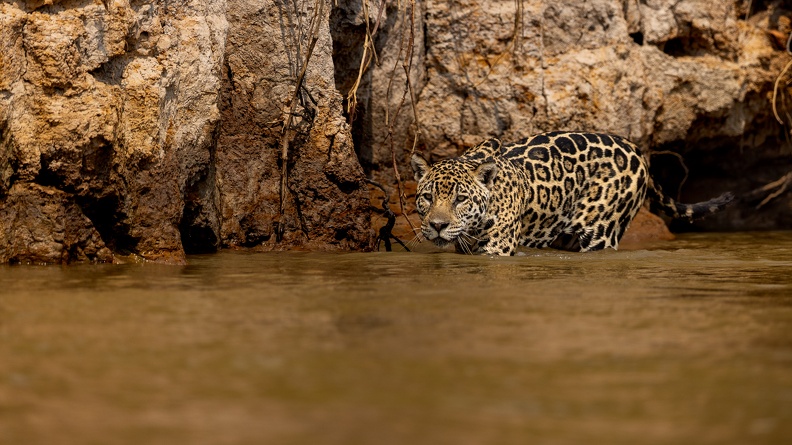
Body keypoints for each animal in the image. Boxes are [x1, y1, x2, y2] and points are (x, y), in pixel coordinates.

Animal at [410, 131, 734, 256]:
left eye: (460, 199)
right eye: (427, 198)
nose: (437, 226)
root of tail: (635, 149)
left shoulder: (496, 250)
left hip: (601, 233)